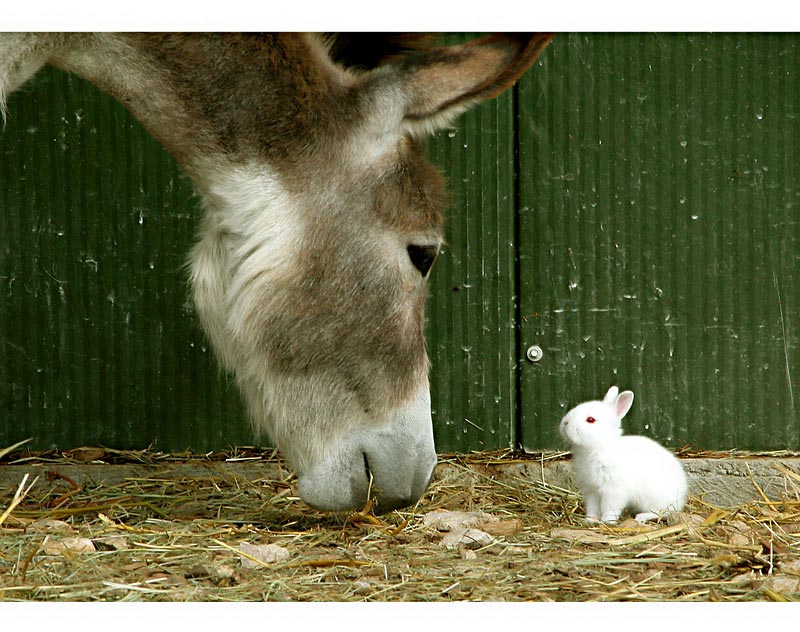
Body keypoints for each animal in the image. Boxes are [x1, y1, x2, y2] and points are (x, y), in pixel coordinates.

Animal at [556, 386, 688, 524]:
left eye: (590, 420)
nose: (565, 423)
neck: (597, 447)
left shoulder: (614, 491)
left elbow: (610, 508)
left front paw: (607, 522)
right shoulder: (591, 491)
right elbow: (592, 508)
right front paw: (590, 520)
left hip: (657, 501)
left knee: (663, 512)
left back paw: (641, 517)